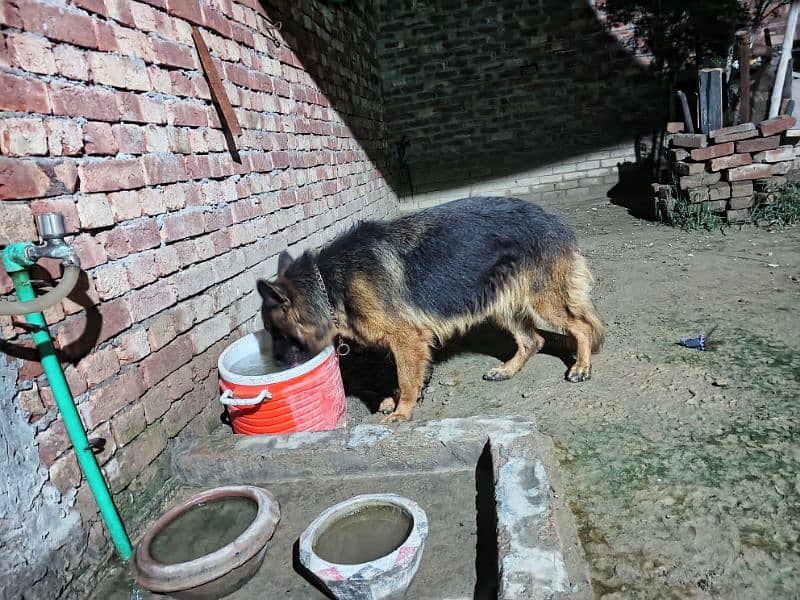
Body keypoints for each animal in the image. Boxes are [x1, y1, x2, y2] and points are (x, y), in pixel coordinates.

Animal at [260, 197, 604, 422]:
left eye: (276, 332)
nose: (275, 363)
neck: (328, 284)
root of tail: (552, 218)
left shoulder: (406, 339)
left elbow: (405, 377)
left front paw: (402, 411)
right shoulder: (410, 343)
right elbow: (407, 375)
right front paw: (399, 399)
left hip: (541, 300)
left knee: (582, 326)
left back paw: (581, 367)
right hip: (499, 301)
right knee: (534, 340)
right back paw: (506, 370)